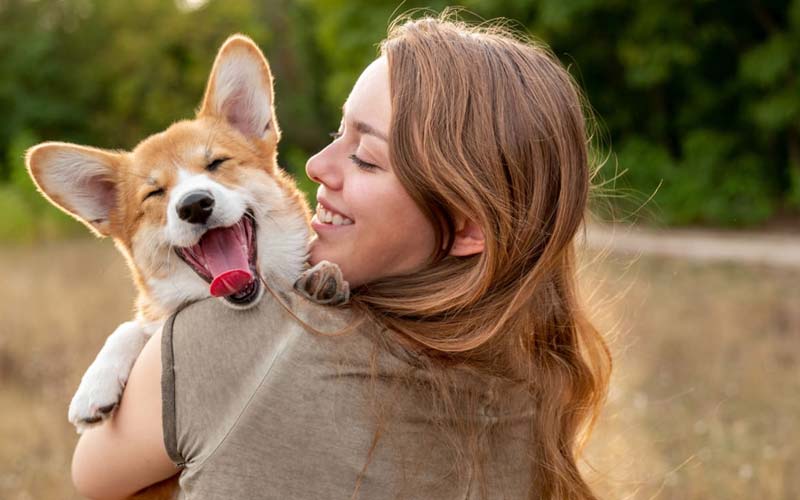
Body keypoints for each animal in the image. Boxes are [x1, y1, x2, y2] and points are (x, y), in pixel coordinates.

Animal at [25, 35, 346, 450]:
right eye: (154, 193)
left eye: (216, 163)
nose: (194, 204)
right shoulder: (154, 316)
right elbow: (131, 327)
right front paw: (94, 387)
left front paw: (325, 277)